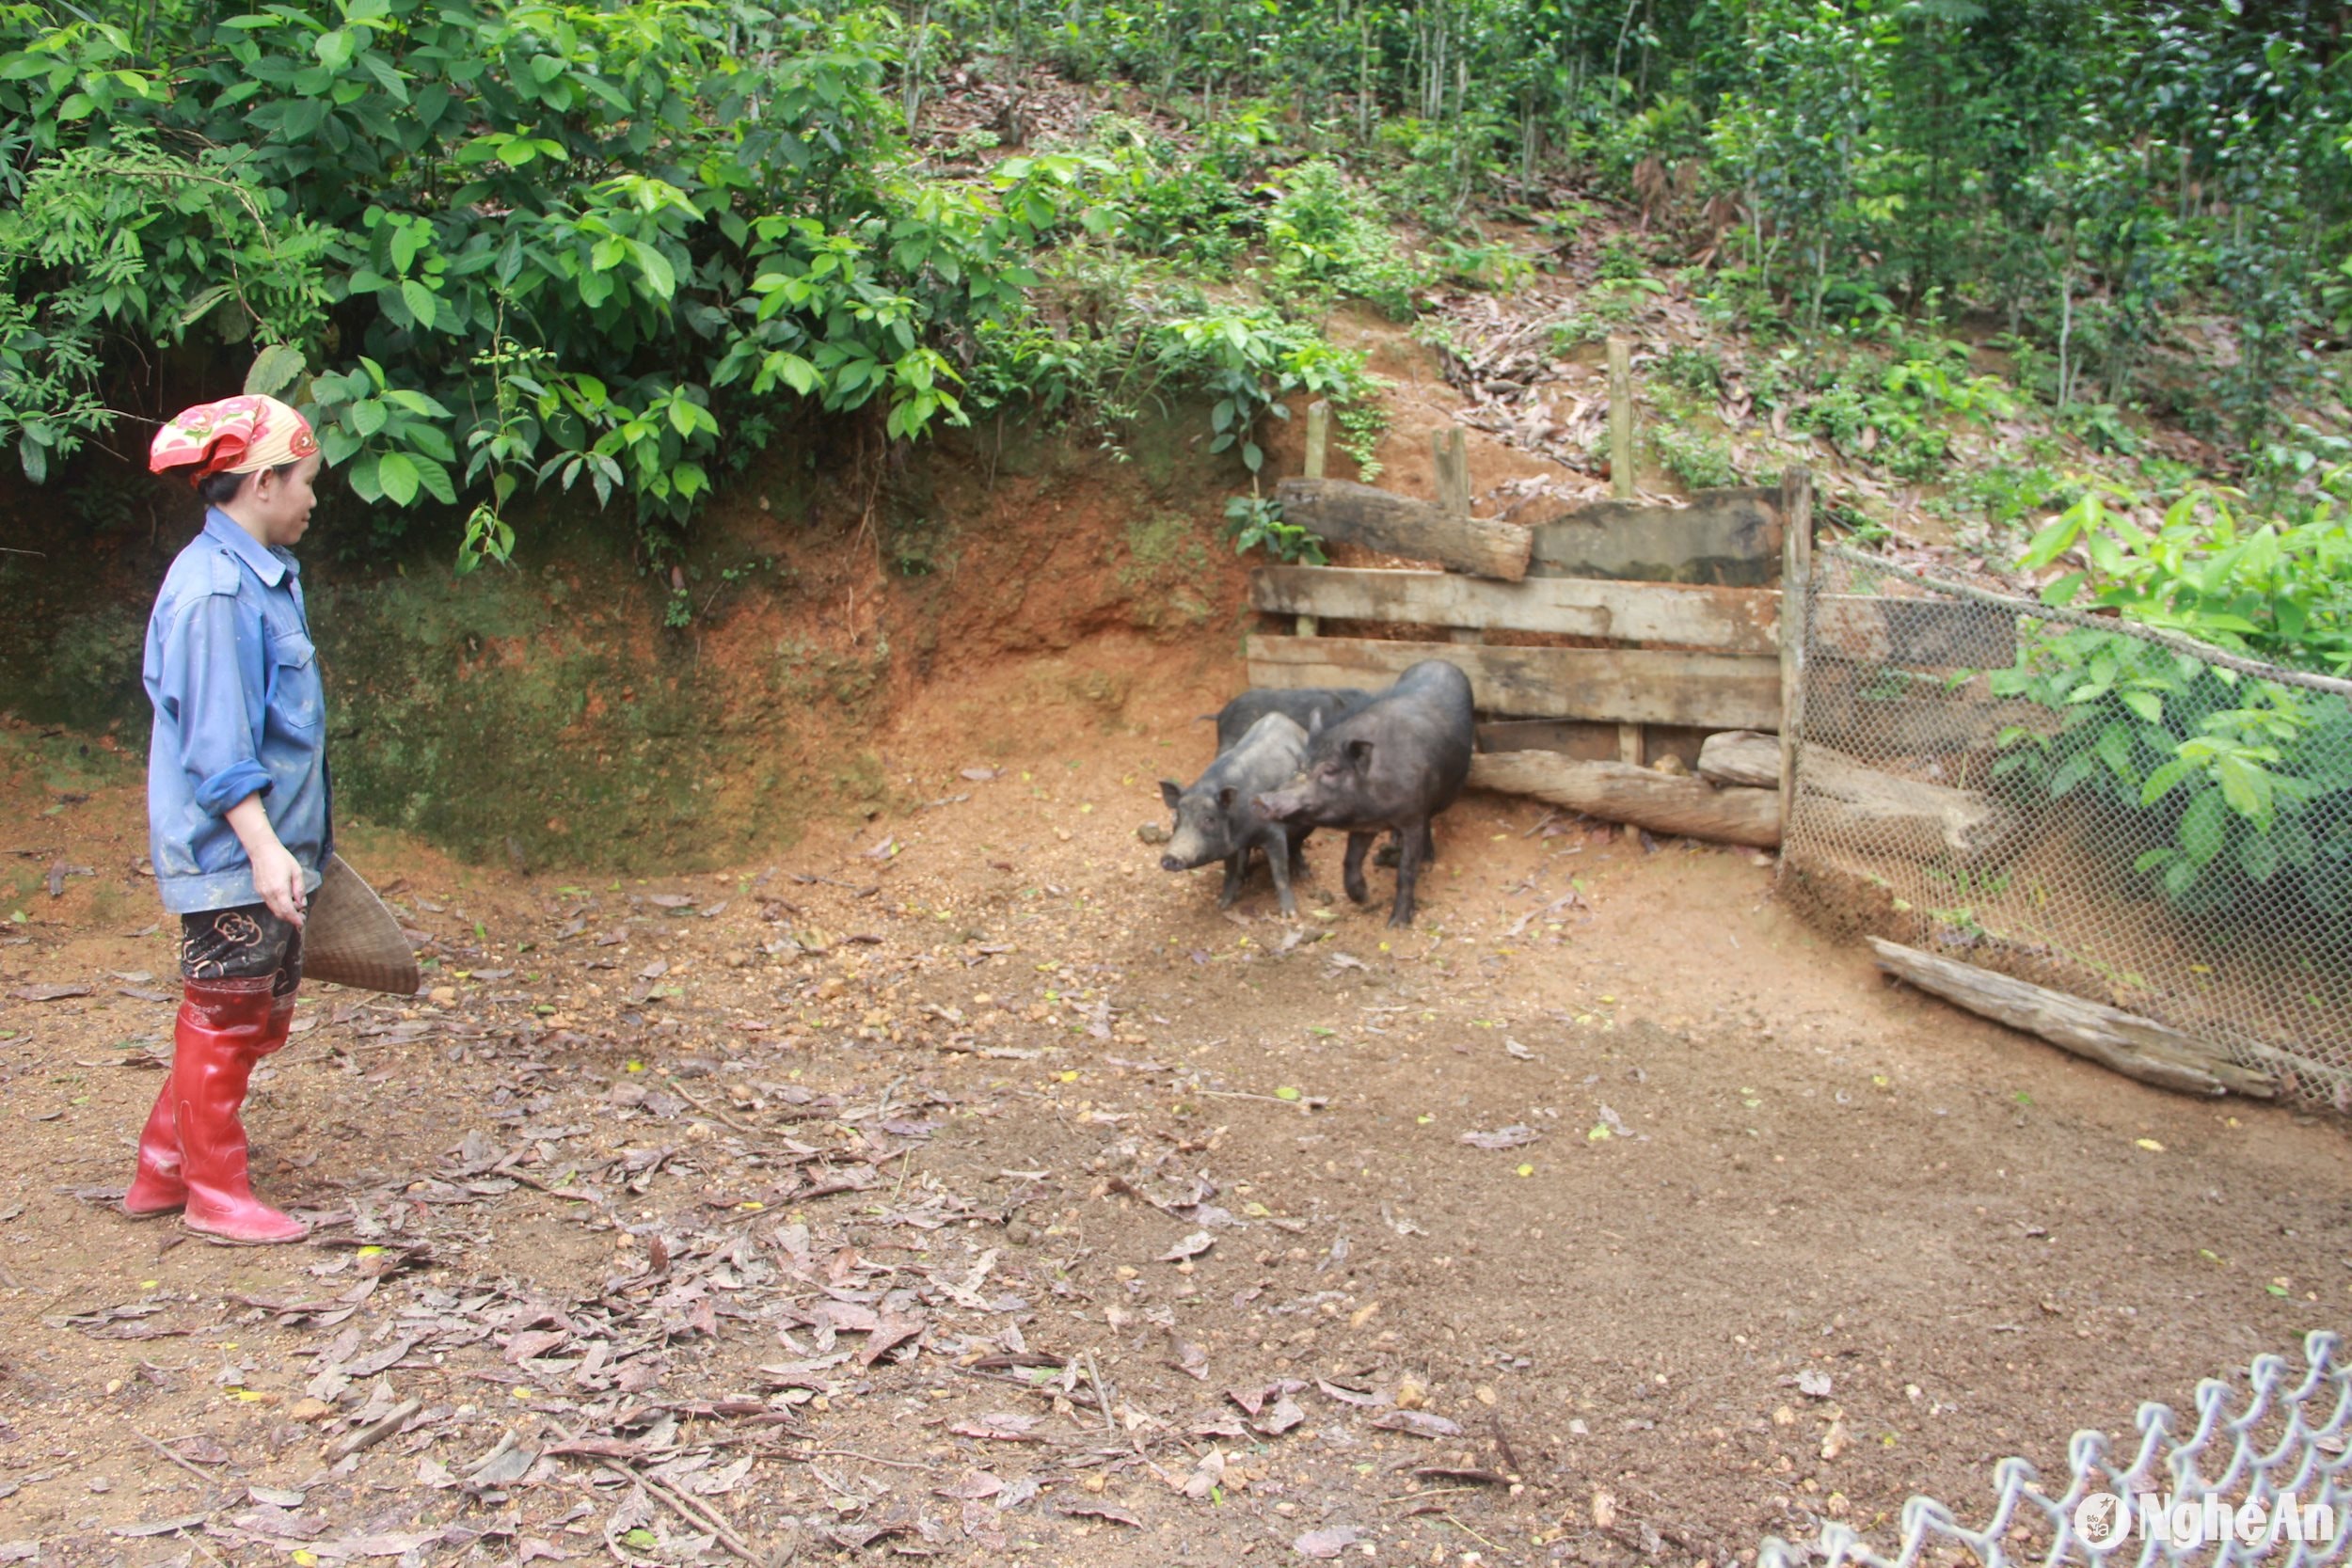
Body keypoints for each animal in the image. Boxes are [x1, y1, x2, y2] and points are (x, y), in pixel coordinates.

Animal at [1251, 667, 1468, 930]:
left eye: (1330, 770)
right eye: (1302, 765)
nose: (1261, 799)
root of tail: (1441, 662)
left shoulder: (1413, 817)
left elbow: (1406, 869)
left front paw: (1397, 924)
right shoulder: (1365, 824)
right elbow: (1350, 861)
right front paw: (1363, 897)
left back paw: (1425, 859)